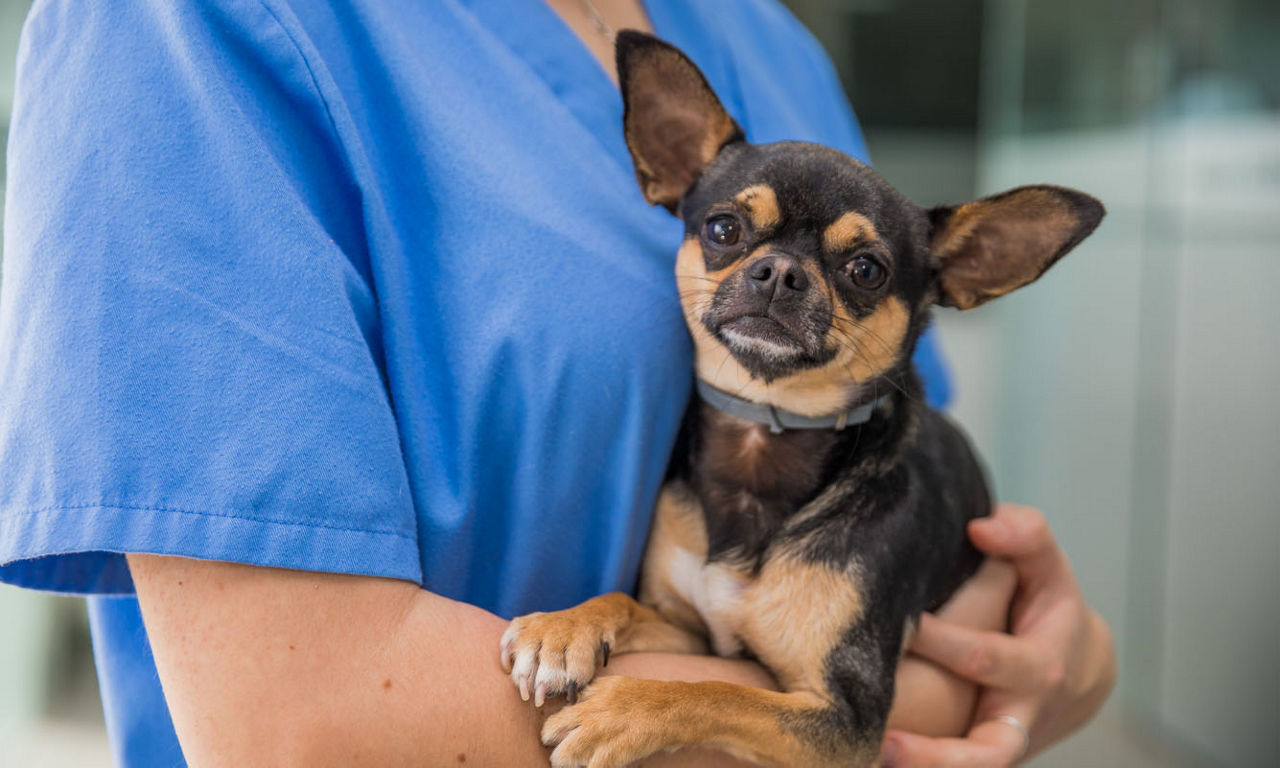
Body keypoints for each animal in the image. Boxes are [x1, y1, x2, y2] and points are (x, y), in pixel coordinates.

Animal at [499, 31, 1100, 768]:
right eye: (723, 229)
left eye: (866, 270)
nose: (781, 271)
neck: (769, 431)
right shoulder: (693, 628)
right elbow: (625, 602)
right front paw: (565, 628)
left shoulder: (845, 721)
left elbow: (719, 694)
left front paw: (623, 709)